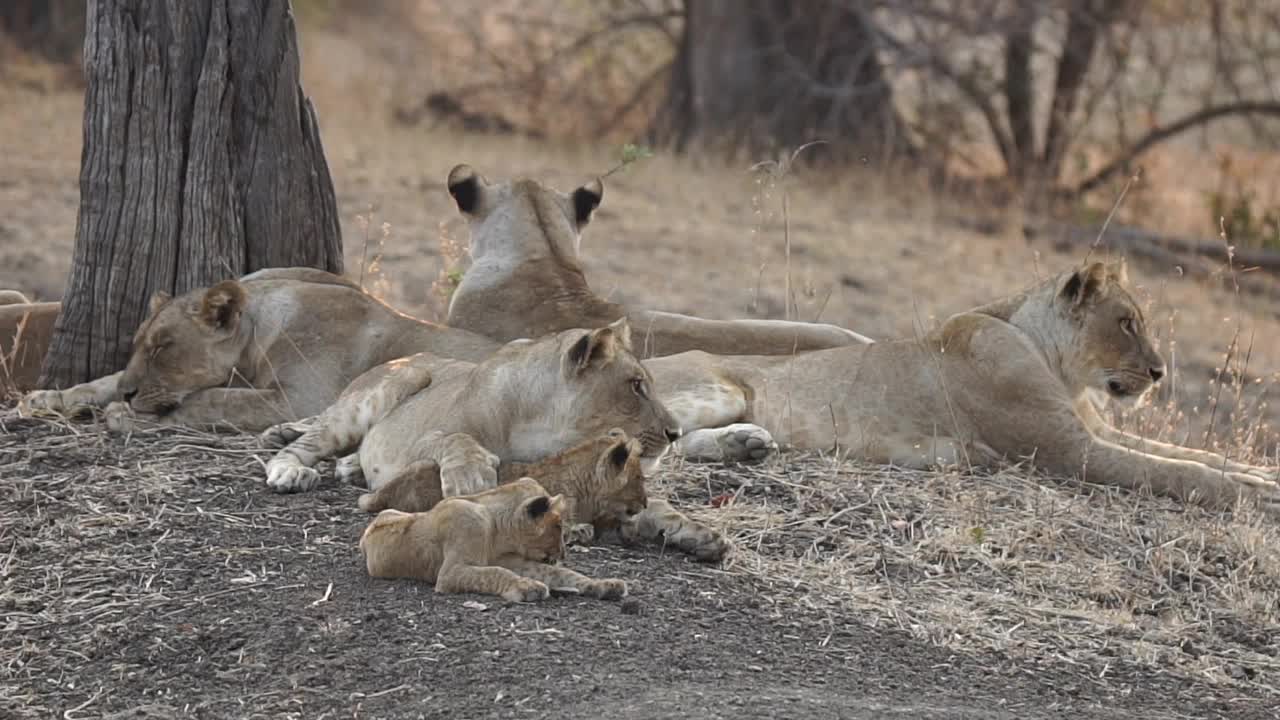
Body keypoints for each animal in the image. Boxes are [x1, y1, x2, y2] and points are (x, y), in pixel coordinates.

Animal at [21, 266, 499, 427]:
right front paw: (47, 397)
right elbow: (103, 379)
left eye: (163, 348)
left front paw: (128, 413)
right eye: (139, 345)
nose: (129, 393)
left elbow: (217, 400)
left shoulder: (302, 400)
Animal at [358, 476, 627, 599]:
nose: (564, 553)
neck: (499, 534)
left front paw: (604, 585)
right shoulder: (451, 572)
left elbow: (561, 573)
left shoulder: (517, 561)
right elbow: (495, 573)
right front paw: (526, 587)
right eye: (559, 526)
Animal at [645, 262, 1280, 509]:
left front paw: (1261, 475)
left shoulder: (1088, 430)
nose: (1158, 372)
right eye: (1126, 322)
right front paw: (1256, 497)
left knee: (680, 446)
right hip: (713, 386)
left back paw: (746, 445)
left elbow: (1194, 454)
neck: (1056, 363)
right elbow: (1179, 472)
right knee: (648, 446)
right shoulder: (1066, 450)